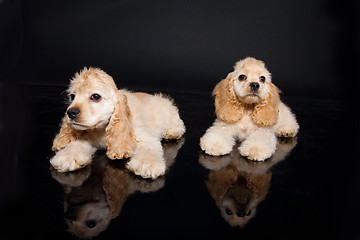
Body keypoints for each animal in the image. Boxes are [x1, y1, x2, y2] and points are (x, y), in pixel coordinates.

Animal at [50, 67, 186, 178]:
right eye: (72, 96)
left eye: (96, 96)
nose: (71, 112)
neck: (101, 130)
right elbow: (77, 144)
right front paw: (67, 156)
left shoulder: (143, 136)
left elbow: (149, 148)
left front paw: (147, 164)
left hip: (170, 111)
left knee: (178, 124)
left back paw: (172, 132)